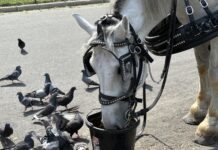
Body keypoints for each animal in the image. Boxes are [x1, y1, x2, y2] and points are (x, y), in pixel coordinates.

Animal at [74, 0, 218, 145]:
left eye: (122, 69)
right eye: (92, 66)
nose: (109, 125)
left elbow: (213, 75)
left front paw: (209, 126)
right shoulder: (196, 32)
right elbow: (202, 68)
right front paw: (198, 110)